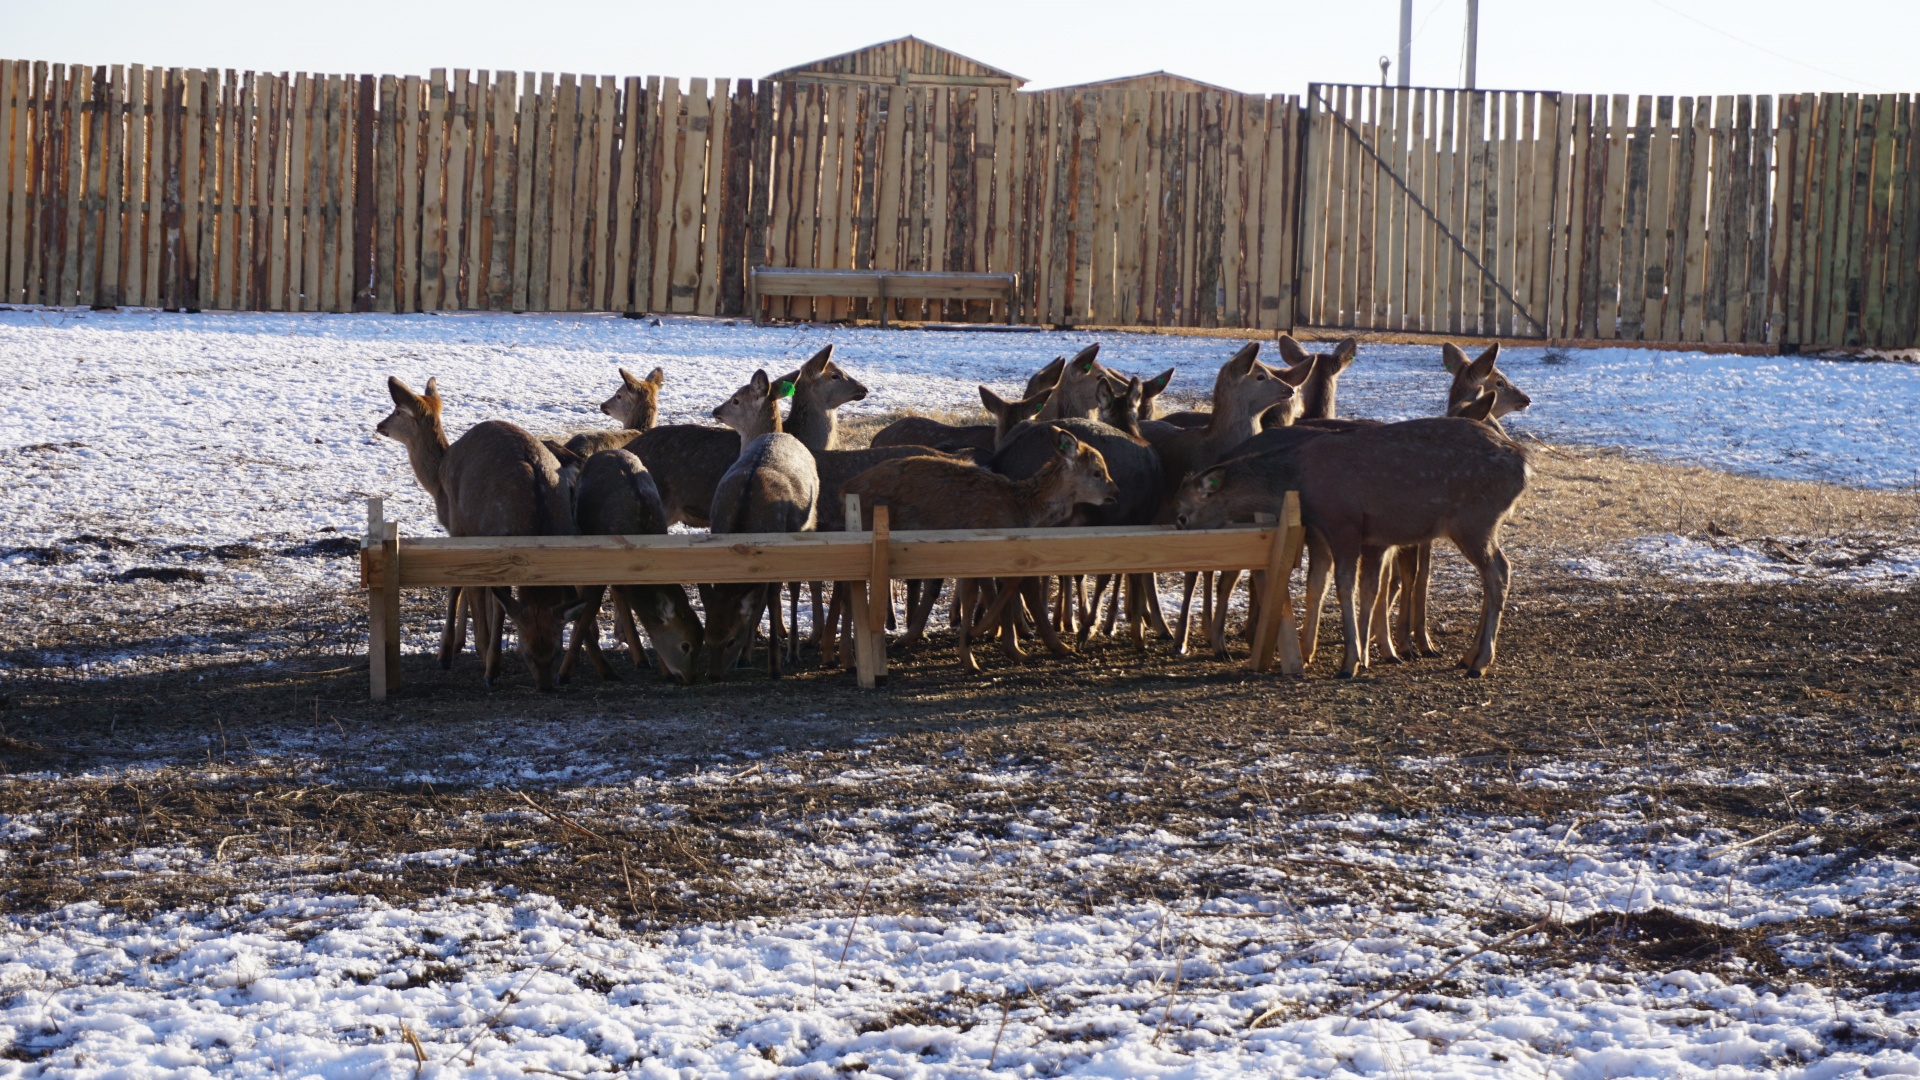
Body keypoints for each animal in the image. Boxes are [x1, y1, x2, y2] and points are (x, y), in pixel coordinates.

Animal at [372, 374, 583, 684]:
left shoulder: (459, 526)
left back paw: (490, 665)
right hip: (561, 529)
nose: (380, 425)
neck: (436, 481)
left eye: (398, 411)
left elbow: (460, 587)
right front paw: (462, 643)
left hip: (499, 527)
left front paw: (449, 652)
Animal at [560, 443, 714, 680]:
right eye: (685, 645)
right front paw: (565, 672)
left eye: (700, 641)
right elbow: (588, 609)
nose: (690, 678)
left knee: (619, 593)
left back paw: (640, 657)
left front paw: (663, 669)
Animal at [844, 428, 1121, 672]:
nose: (1115, 492)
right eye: (1097, 472)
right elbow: (1000, 592)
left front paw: (1001, 646)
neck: (1022, 509)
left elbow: (994, 591)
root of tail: (846, 489)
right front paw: (989, 643)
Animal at [1167, 399, 1528, 676]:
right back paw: (1469, 657)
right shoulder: (1350, 536)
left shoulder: (1343, 524)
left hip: (1474, 521)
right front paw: (1354, 656)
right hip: (1478, 525)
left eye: (1182, 515)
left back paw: (1479, 662)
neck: (1299, 481)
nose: (1180, 538)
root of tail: (1523, 466)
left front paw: (1350, 661)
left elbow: (1345, 587)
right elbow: (1343, 586)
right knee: (1494, 574)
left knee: (1499, 571)